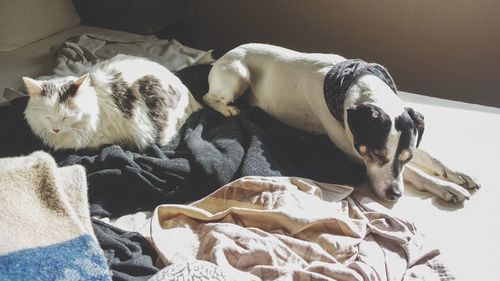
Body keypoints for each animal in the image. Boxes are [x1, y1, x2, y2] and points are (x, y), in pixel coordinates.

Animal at [197, 43, 478, 201]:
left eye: (407, 157)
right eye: (376, 154)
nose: (395, 195)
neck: (355, 84)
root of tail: (227, 51)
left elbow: (429, 158)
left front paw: (457, 176)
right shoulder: (355, 153)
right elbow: (416, 174)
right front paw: (444, 187)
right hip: (238, 74)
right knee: (207, 97)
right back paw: (229, 109)